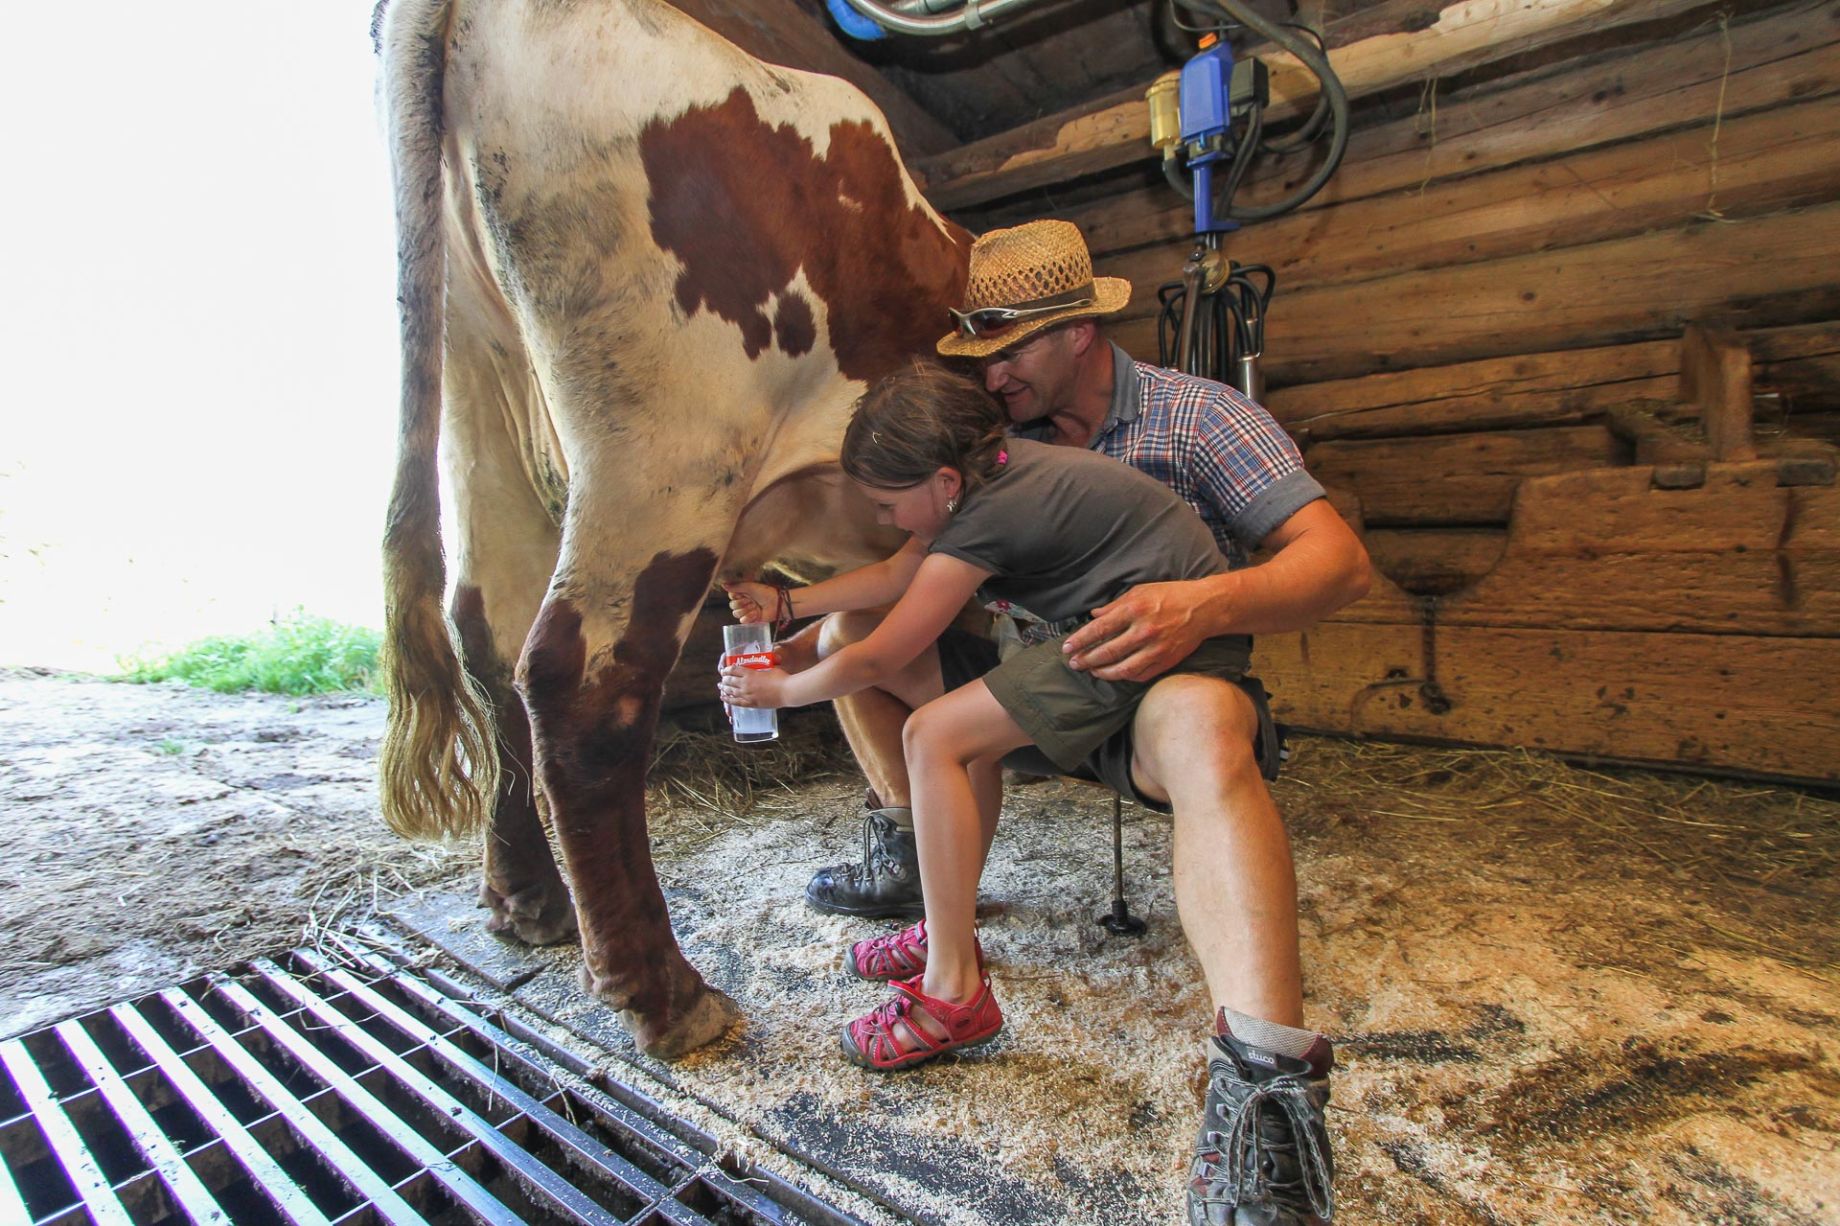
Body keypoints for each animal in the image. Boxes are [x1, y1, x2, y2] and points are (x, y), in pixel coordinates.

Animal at [379, 0, 971, 1052]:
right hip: (666, 448)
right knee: (578, 679)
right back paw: (665, 995)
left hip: (481, 392)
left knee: (484, 636)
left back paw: (528, 900)